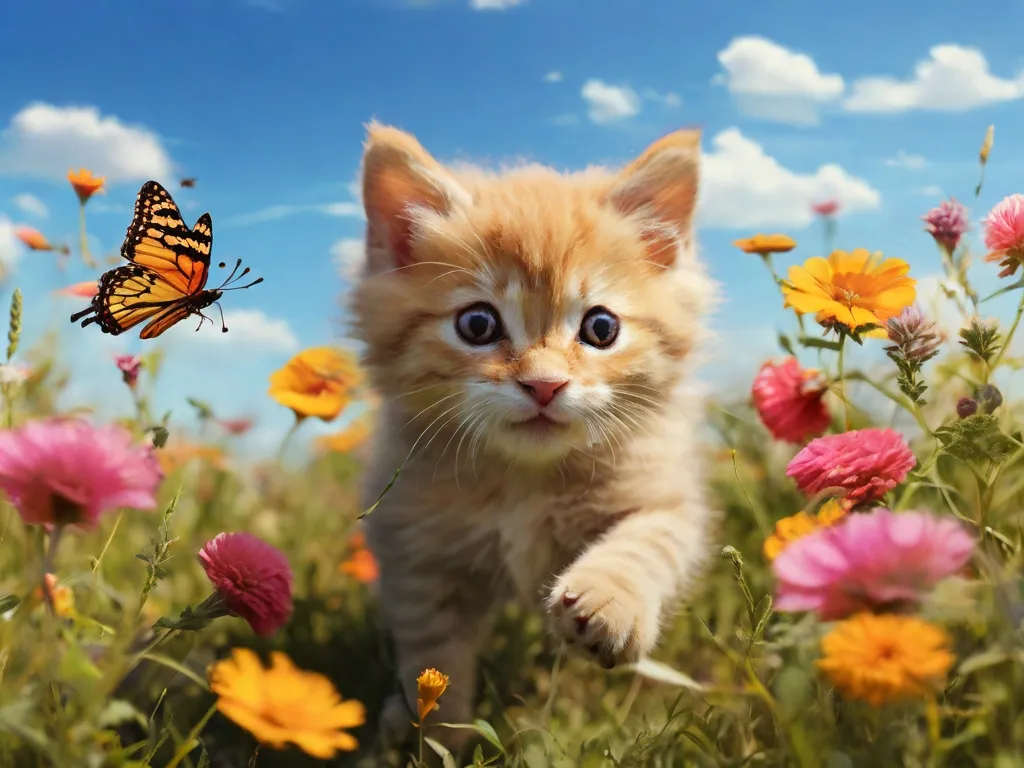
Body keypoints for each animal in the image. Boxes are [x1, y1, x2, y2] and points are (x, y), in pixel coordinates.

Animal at [352, 123, 720, 753]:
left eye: (601, 328)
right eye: (477, 324)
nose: (545, 384)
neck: (524, 480)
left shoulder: (662, 498)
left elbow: (643, 545)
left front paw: (608, 601)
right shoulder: (417, 546)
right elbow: (434, 657)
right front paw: (436, 738)